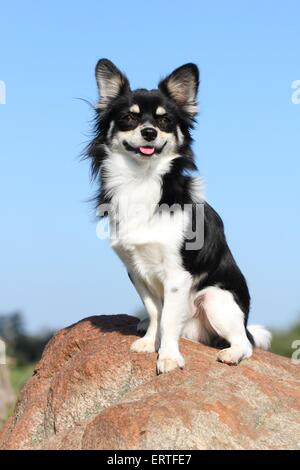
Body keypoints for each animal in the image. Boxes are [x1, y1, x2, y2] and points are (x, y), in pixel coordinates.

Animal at [86, 59, 270, 374]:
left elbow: (169, 319)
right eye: (128, 118)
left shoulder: (177, 275)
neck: (141, 179)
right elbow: (155, 311)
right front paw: (150, 342)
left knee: (245, 343)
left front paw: (169, 356)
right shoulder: (136, 270)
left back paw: (232, 353)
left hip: (216, 299)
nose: (149, 132)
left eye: (165, 121)